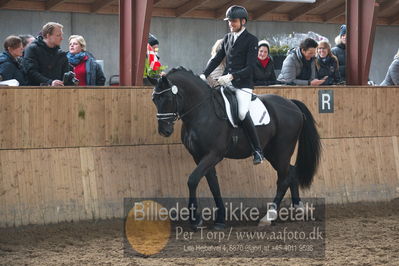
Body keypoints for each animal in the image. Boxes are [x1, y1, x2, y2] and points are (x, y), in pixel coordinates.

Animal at [150, 67, 322, 230]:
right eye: (154, 99)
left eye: (168, 98)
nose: (164, 131)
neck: (202, 112)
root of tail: (291, 104)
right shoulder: (199, 156)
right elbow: (214, 185)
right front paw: (220, 220)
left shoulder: (214, 154)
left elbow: (192, 180)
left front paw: (195, 221)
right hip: (272, 152)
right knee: (291, 172)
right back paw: (299, 208)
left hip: (282, 151)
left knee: (283, 179)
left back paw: (269, 217)